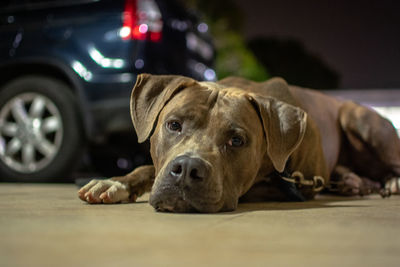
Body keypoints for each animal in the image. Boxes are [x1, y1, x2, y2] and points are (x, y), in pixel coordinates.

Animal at [78, 74, 400, 213]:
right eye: (173, 125)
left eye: (236, 140)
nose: (187, 169)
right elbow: (149, 168)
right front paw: (116, 182)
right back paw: (355, 182)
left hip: (358, 118)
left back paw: (387, 182)